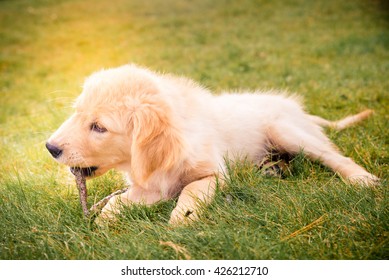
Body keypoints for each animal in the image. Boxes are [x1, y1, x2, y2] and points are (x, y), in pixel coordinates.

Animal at [44, 64, 376, 224]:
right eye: (76, 112)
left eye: (99, 127)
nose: (50, 147)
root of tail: (298, 110)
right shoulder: (152, 184)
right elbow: (116, 202)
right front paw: (102, 223)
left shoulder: (215, 173)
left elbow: (191, 190)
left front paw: (180, 221)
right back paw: (273, 168)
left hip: (286, 131)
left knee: (334, 156)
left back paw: (362, 179)